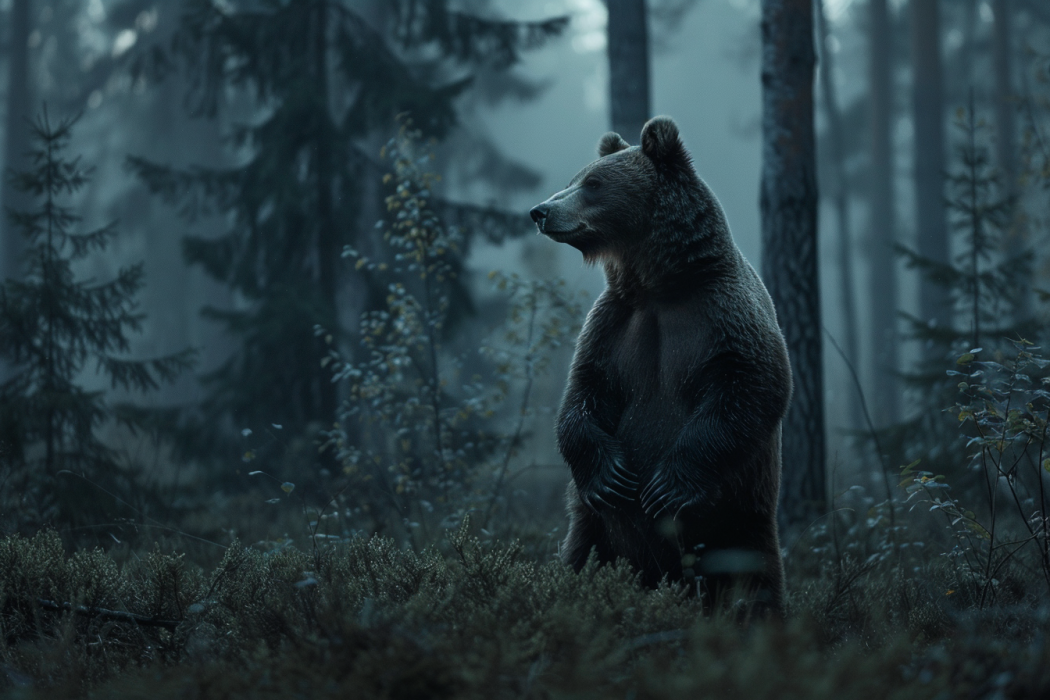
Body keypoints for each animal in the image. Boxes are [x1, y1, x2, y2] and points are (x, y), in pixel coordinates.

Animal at [529, 116, 792, 616]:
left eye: (593, 184)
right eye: (575, 178)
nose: (540, 211)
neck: (659, 284)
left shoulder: (724, 315)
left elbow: (749, 387)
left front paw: (665, 487)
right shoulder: (614, 325)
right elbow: (583, 394)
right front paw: (611, 477)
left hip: (741, 521)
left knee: (754, 578)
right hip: (593, 531)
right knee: (578, 556)